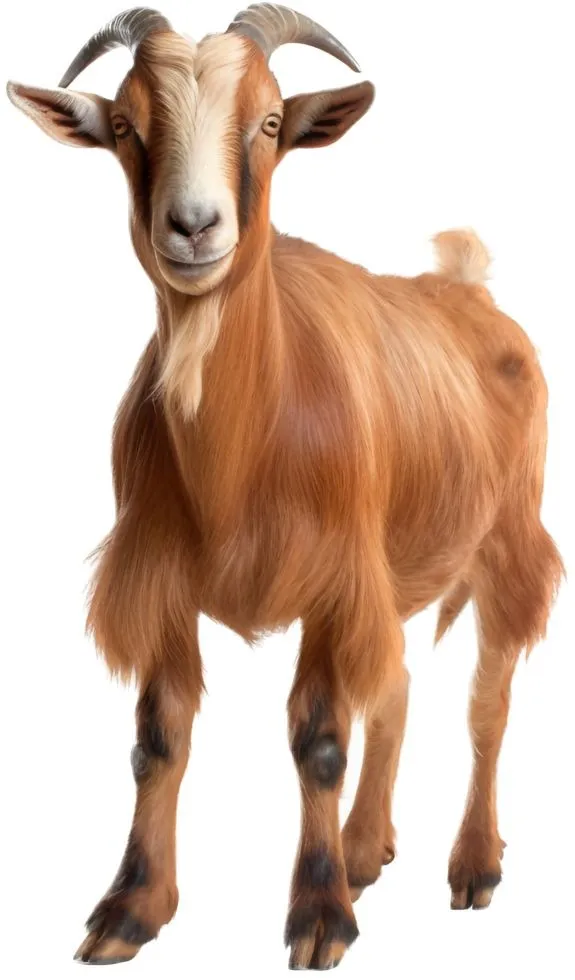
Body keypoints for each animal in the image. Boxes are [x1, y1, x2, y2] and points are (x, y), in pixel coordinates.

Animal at [8, 4, 563, 970]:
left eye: (270, 122)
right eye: (125, 125)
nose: (194, 227)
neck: (242, 450)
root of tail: (467, 286)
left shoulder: (336, 578)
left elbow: (319, 741)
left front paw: (318, 918)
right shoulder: (160, 574)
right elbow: (158, 739)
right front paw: (130, 909)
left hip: (508, 536)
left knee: (485, 704)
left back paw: (472, 863)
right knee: (398, 688)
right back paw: (364, 848)